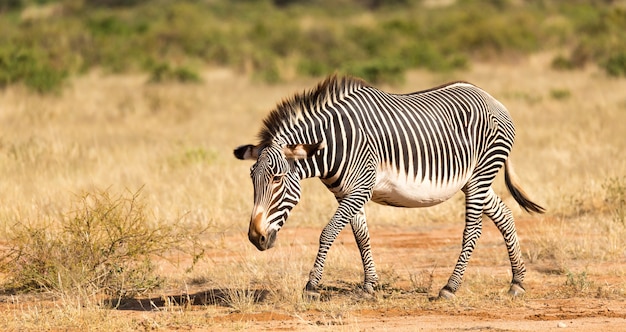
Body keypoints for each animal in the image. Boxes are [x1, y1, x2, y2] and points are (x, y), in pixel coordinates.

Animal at [233, 74, 540, 298]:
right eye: (252, 179)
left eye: (277, 179)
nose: (255, 237)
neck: (332, 145)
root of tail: (492, 98)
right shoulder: (347, 193)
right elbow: (361, 237)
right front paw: (369, 286)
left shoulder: (361, 187)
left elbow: (328, 232)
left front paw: (312, 286)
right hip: (473, 179)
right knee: (505, 215)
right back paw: (517, 282)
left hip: (480, 175)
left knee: (473, 230)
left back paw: (450, 287)